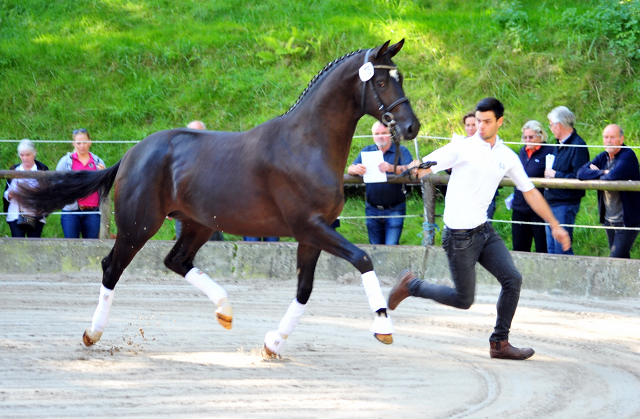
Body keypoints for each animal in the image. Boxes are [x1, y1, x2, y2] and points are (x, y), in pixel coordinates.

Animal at [15, 39, 420, 356]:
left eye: (400, 77)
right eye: (380, 80)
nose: (411, 126)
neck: (306, 144)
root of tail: (131, 153)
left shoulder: (312, 233)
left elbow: (304, 290)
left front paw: (273, 344)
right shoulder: (310, 226)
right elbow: (363, 258)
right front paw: (383, 326)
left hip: (198, 224)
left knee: (176, 261)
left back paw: (225, 309)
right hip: (139, 224)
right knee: (112, 267)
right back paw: (92, 334)